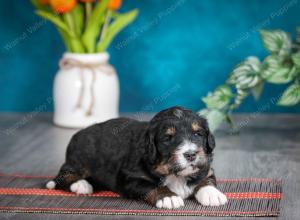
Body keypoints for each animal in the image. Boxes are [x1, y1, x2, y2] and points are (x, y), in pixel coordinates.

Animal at [45, 106, 226, 208]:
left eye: (198, 134)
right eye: (168, 138)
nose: (191, 154)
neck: (175, 175)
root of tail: (78, 134)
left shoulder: (205, 166)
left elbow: (206, 178)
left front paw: (212, 194)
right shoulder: (130, 178)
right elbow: (152, 185)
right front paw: (169, 197)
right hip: (79, 161)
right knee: (62, 176)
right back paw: (81, 185)